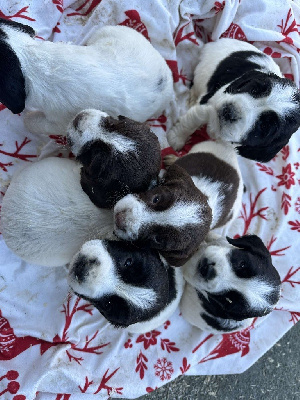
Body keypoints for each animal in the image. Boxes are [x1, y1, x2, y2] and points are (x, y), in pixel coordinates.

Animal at [166, 38, 300, 162]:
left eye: (264, 126)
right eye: (254, 89)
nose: (229, 110)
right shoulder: (211, 101)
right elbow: (191, 121)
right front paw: (176, 139)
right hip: (202, 73)